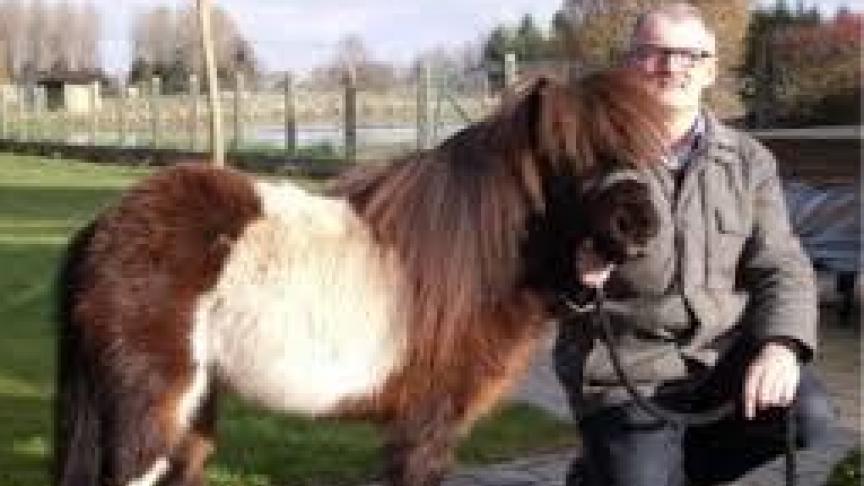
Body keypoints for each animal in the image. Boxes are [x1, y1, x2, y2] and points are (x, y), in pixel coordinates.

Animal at [54, 68, 668, 486]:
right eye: (566, 152)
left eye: (642, 150)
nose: (640, 225)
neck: (473, 257)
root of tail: (102, 229)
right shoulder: (425, 426)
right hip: (152, 414)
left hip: (195, 409)